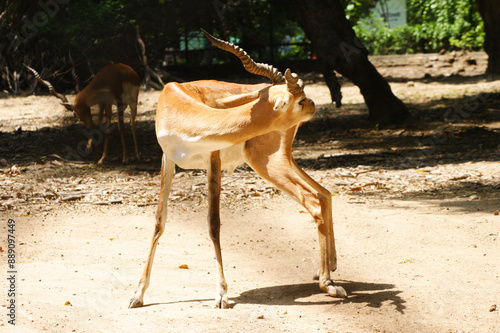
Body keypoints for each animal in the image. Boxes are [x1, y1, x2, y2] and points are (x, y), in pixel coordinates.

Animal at [129, 29, 346, 308]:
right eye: (298, 100)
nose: (312, 105)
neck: (180, 109)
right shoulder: (167, 160)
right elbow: (159, 222)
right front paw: (138, 294)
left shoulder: (212, 159)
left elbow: (213, 223)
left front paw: (222, 294)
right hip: (279, 159)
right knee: (324, 194)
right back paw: (328, 270)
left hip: (266, 162)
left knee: (314, 200)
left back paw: (328, 284)